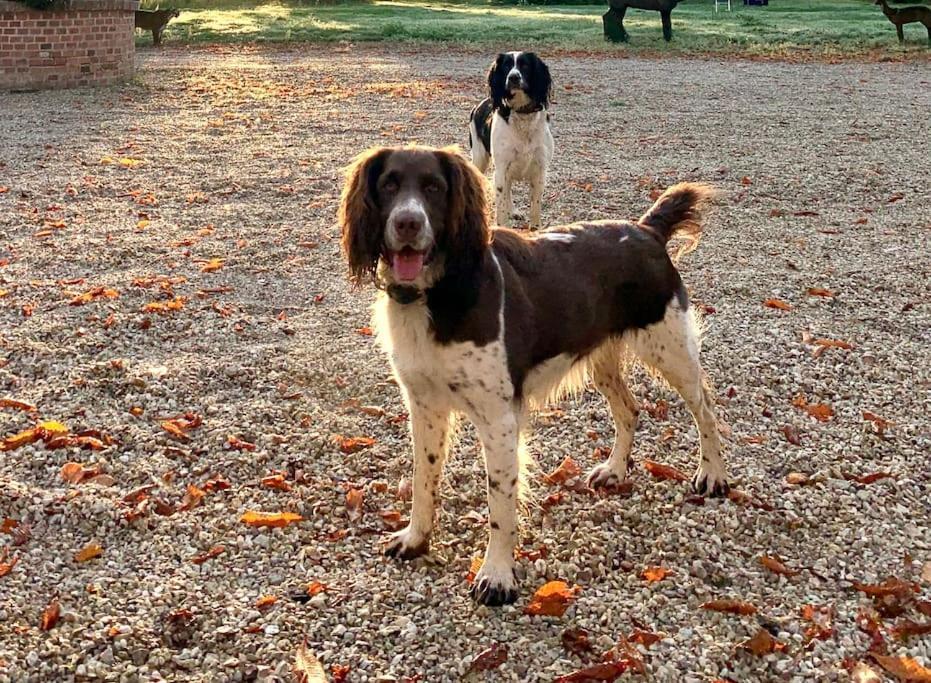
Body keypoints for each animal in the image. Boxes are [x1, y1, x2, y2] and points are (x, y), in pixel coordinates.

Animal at [338, 147, 732, 608]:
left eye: (434, 187)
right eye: (389, 185)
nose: (407, 223)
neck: (436, 293)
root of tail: (646, 230)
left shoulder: (498, 419)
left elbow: (500, 502)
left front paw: (496, 575)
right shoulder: (424, 406)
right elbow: (423, 480)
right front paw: (416, 539)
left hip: (670, 349)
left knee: (706, 409)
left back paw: (713, 475)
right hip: (603, 361)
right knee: (630, 410)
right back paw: (615, 470)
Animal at [470, 50, 548, 231]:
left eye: (525, 65)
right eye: (506, 66)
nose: (513, 77)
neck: (522, 115)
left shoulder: (539, 170)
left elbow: (535, 206)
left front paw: (536, 229)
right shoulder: (501, 168)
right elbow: (501, 206)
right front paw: (503, 228)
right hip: (479, 158)